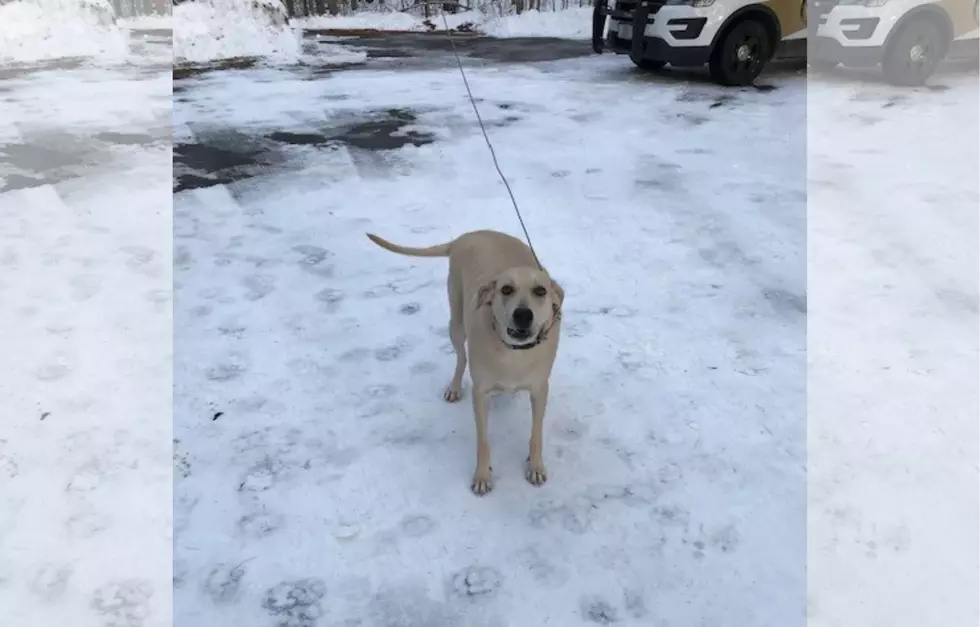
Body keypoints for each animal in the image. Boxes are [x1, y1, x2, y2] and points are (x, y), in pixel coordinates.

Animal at [368, 229, 568, 496]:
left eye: (540, 291)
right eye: (506, 289)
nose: (523, 315)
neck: (513, 353)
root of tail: (466, 236)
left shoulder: (540, 389)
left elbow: (536, 433)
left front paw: (535, 466)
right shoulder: (480, 393)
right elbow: (483, 439)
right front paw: (482, 474)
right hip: (457, 322)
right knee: (461, 358)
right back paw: (454, 387)